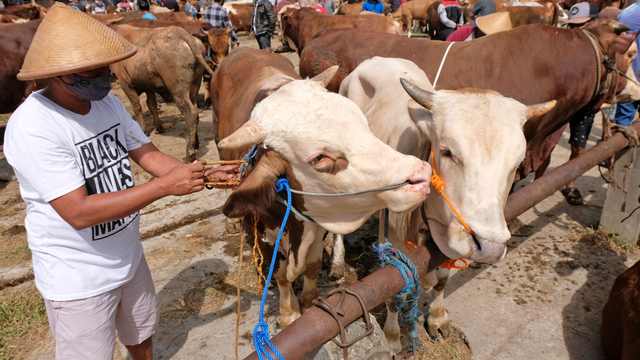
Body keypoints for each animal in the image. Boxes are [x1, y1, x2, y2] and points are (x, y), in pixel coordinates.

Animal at [110, 24, 215, 161]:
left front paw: (142, 129)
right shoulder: (148, 85)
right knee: (195, 112)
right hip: (193, 88)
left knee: (190, 114)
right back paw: (195, 142)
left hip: (179, 91)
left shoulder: (125, 83)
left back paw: (189, 153)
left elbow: (137, 107)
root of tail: (181, 33)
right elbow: (152, 105)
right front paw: (158, 127)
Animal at [340, 57, 556, 354]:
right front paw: (393, 339)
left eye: (518, 162)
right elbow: (396, 294)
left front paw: (437, 319)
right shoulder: (395, 242)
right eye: (447, 152)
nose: (489, 247)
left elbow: (441, 280)